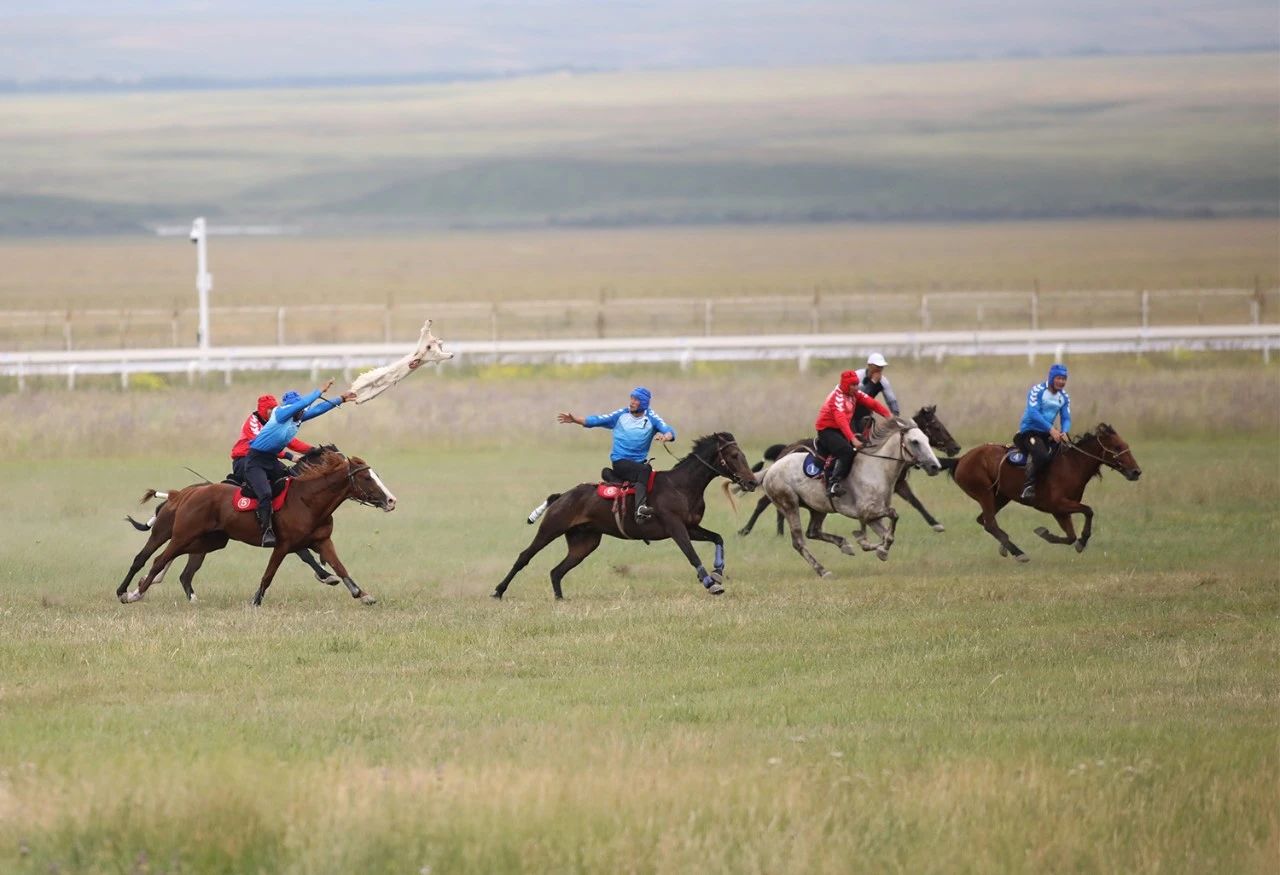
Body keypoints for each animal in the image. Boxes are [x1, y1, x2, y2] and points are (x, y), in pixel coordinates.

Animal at [115, 447, 396, 603]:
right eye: (366, 477)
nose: (391, 500)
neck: (308, 500)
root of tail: (184, 493)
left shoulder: (322, 541)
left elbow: (340, 567)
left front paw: (362, 594)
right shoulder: (283, 545)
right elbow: (269, 574)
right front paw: (256, 601)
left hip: (209, 541)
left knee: (176, 566)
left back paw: (142, 587)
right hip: (181, 534)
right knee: (155, 559)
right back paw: (131, 593)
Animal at [491, 432, 757, 601]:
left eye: (743, 454)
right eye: (734, 455)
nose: (752, 481)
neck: (682, 486)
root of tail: (563, 495)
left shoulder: (691, 527)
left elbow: (718, 538)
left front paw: (718, 572)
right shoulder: (675, 527)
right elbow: (691, 555)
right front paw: (710, 584)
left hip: (584, 543)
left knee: (556, 571)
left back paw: (559, 599)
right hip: (551, 528)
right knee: (524, 557)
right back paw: (498, 591)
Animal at [732, 406, 962, 537]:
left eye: (927, 435)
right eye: (936, 426)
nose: (956, 447)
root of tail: (786, 448)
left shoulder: (898, 484)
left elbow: (915, 502)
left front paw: (935, 523)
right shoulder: (894, 486)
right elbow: (914, 501)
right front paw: (936, 524)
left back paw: (778, 531)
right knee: (763, 503)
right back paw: (747, 530)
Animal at [757, 414, 942, 578]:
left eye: (927, 439)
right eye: (915, 442)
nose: (935, 466)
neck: (876, 469)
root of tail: (771, 469)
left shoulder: (873, 517)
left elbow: (887, 535)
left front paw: (879, 549)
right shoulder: (867, 511)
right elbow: (893, 515)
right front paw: (870, 544)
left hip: (818, 508)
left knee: (813, 531)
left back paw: (845, 545)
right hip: (789, 505)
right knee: (799, 541)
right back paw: (823, 571)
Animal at [942, 422, 1141, 560]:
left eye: (1126, 445)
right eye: (1117, 447)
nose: (1136, 472)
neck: (1072, 465)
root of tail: (961, 459)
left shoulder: (1060, 511)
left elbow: (1070, 536)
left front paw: (1047, 534)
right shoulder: (1058, 505)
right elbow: (1088, 511)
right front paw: (1082, 540)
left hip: (1000, 496)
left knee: (983, 520)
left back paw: (1006, 544)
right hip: (984, 493)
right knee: (989, 523)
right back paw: (1018, 552)